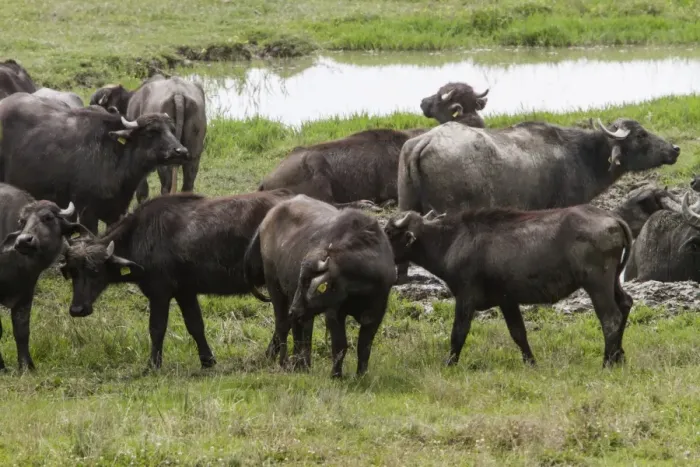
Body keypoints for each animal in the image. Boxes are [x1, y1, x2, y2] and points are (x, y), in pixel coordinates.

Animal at [1, 183, 87, 370]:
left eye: (48, 217)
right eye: (22, 221)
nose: (23, 241)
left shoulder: (26, 293)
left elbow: (22, 330)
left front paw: (26, 366)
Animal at [60, 189, 293, 370]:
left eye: (95, 271)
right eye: (73, 272)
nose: (77, 309)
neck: (140, 235)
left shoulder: (159, 293)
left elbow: (156, 328)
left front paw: (152, 365)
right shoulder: (185, 292)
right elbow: (195, 325)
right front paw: (207, 360)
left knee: (283, 321)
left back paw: (269, 354)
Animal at [245, 195, 396, 378]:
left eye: (307, 282)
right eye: (302, 280)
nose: (294, 310)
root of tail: (269, 216)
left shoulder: (376, 313)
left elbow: (364, 347)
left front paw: (361, 375)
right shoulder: (334, 313)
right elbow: (340, 345)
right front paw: (336, 375)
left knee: (298, 329)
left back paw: (301, 364)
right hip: (275, 287)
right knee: (282, 325)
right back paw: (284, 361)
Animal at [384, 206, 633, 367]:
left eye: (389, 232)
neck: (451, 240)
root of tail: (613, 219)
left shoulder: (466, 297)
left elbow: (458, 333)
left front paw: (449, 364)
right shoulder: (507, 301)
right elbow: (519, 334)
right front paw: (531, 363)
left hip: (597, 284)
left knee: (610, 317)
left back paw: (607, 361)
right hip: (612, 282)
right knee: (625, 305)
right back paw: (619, 357)